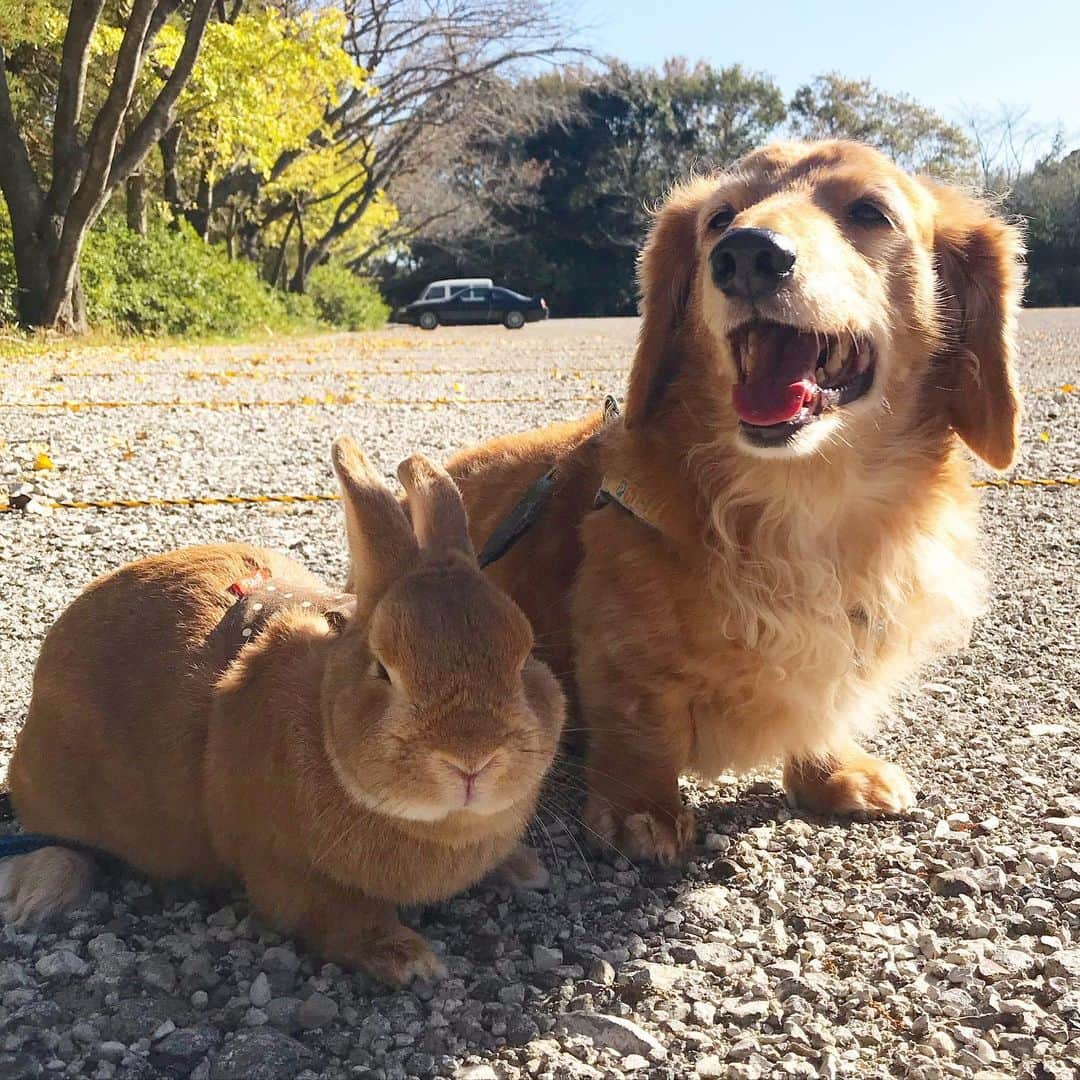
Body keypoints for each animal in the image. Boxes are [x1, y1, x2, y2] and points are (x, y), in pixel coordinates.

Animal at [4, 434, 565, 984]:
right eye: (383, 669)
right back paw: (39, 896)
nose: (472, 759)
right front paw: (411, 962)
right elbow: (340, 919)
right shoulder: (285, 872)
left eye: (524, 657)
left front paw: (524, 869)